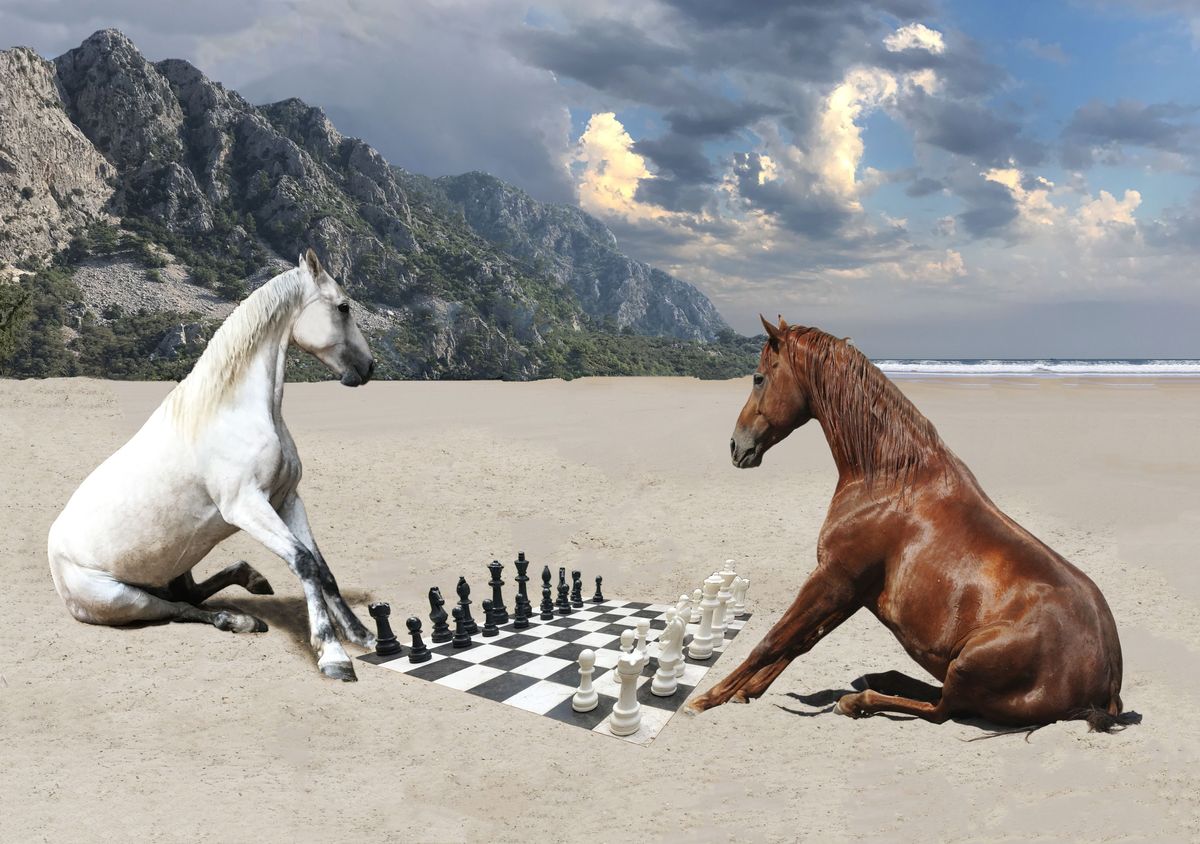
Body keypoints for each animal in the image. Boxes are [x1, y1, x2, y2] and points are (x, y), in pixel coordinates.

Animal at [48, 249, 378, 681]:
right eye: (343, 306)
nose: (369, 367)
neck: (234, 412)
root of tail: (53, 553)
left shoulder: (287, 499)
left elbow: (323, 568)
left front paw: (363, 635)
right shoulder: (247, 507)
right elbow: (304, 563)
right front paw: (333, 655)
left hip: (176, 565)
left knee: (188, 595)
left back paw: (253, 581)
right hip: (122, 598)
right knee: (178, 609)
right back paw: (239, 620)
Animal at [690, 316, 1128, 730]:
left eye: (759, 377)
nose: (737, 446)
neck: (890, 479)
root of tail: (1109, 683)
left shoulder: (832, 578)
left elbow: (772, 640)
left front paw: (708, 698)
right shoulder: (853, 589)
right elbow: (800, 642)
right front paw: (746, 691)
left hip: (968, 664)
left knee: (941, 709)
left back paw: (859, 700)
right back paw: (878, 678)